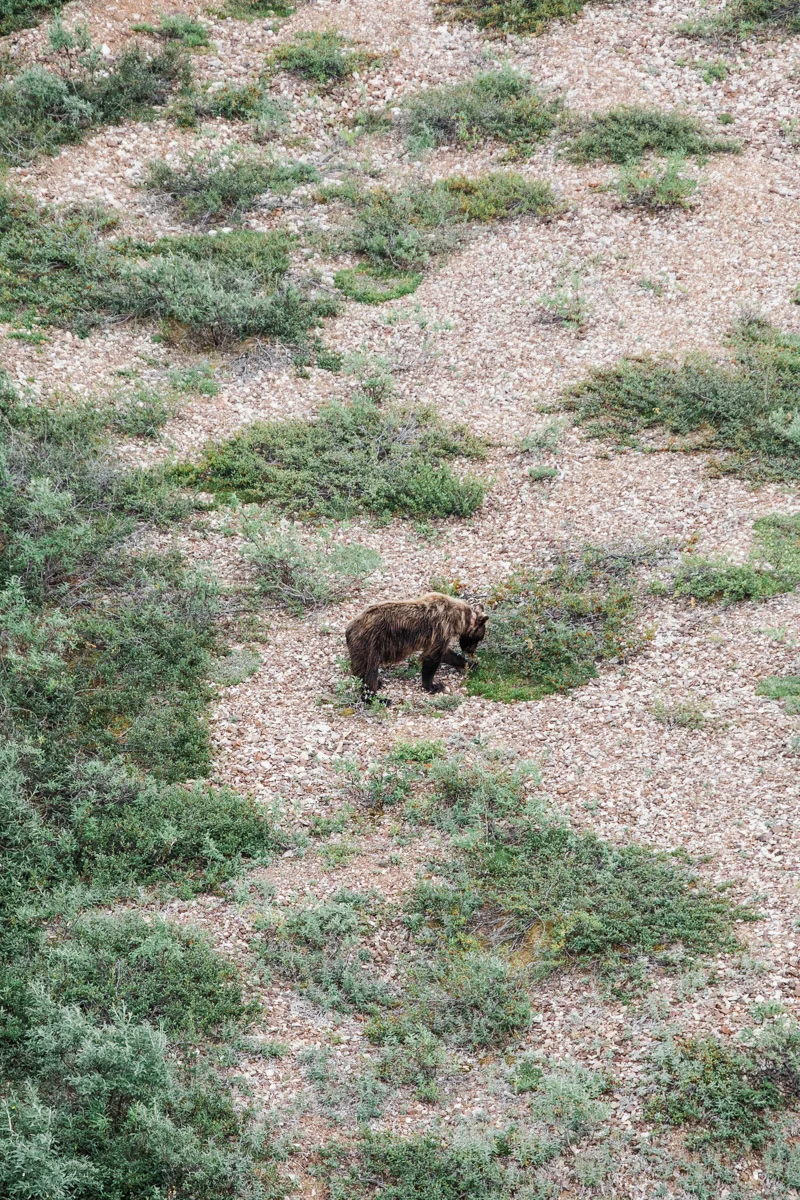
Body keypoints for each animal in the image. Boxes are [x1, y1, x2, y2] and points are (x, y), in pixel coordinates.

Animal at [345, 592, 488, 703]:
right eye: (478, 638)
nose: (471, 651)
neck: (458, 618)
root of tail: (349, 628)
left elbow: (447, 654)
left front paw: (471, 663)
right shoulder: (441, 628)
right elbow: (432, 657)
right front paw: (433, 686)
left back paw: (376, 683)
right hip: (370, 643)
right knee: (370, 670)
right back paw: (377, 698)